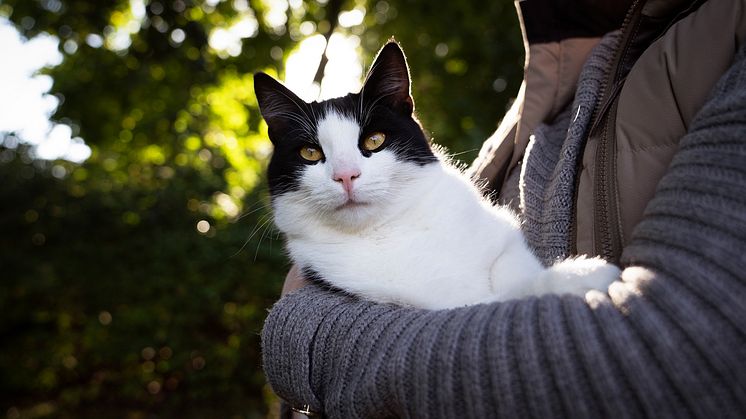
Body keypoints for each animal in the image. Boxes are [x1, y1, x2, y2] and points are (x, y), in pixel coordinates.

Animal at [251, 41, 616, 310]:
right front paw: (582, 276)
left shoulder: (504, 246)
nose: (346, 176)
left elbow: (513, 274)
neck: (390, 231)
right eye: (310, 153)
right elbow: (489, 304)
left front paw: (576, 275)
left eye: (374, 140)